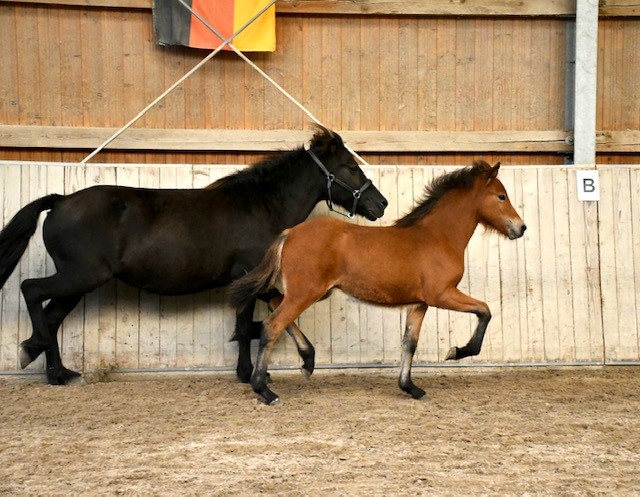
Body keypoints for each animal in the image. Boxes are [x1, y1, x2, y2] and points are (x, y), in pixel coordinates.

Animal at [0, 127, 388, 384]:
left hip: (78, 283)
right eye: (351, 167)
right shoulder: (247, 276)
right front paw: (248, 374)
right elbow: (246, 326)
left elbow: (269, 315)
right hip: (80, 276)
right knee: (32, 290)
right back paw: (32, 351)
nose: (380, 204)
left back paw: (58, 372)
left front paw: (300, 360)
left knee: (51, 316)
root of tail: (61, 201)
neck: (262, 206)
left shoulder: (258, 281)